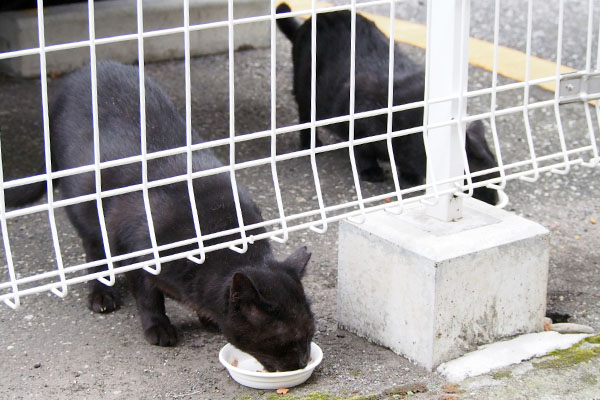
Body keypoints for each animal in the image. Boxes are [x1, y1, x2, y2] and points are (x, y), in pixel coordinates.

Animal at [7, 61, 316, 374]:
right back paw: (101, 294)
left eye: (310, 333)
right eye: (287, 341)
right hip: (85, 210)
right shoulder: (137, 250)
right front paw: (158, 327)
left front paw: (206, 317)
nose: (302, 361)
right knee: (95, 253)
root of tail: (89, 68)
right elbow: (148, 296)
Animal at [278, 5, 500, 206]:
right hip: (306, 93)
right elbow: (362, 151)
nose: (495, 200)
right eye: (481, 181)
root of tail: (316, 19)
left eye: (498, 181)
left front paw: (410, 177)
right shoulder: (360, 115)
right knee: (305, 118)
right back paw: (311, 145)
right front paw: (371, 172)